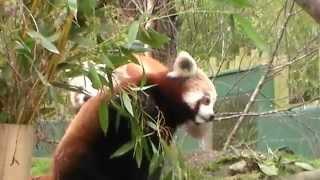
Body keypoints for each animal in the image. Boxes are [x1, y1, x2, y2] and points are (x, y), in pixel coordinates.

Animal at [53, 51, 218, 179]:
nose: (212, 116)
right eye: (206, 100)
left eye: (213, 103)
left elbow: (149, 160)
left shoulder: (162, 129)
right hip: (81, 152)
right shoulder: (132, 94)